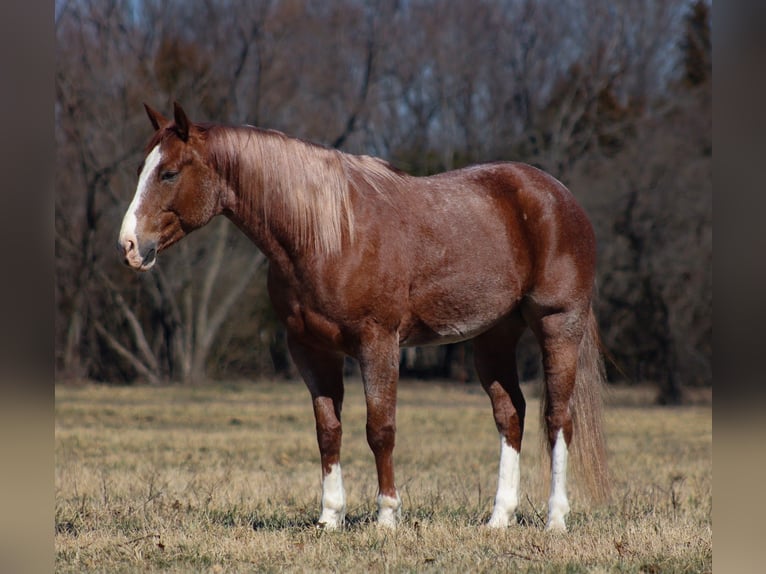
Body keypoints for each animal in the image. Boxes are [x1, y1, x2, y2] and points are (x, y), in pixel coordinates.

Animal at [118, 102, 609, 531]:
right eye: (143, 169)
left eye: (169, 172)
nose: (129, 245)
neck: (329, 235)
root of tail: (559, 196)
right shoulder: (311, 349)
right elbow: (328, 431)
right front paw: (330, 517)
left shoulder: (379, 343)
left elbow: (380, 429)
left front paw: (387, 516)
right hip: (493, 337)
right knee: (511, 415)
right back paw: (499, 519)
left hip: (558, 326)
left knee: (558, 419)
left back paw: (555, 519)